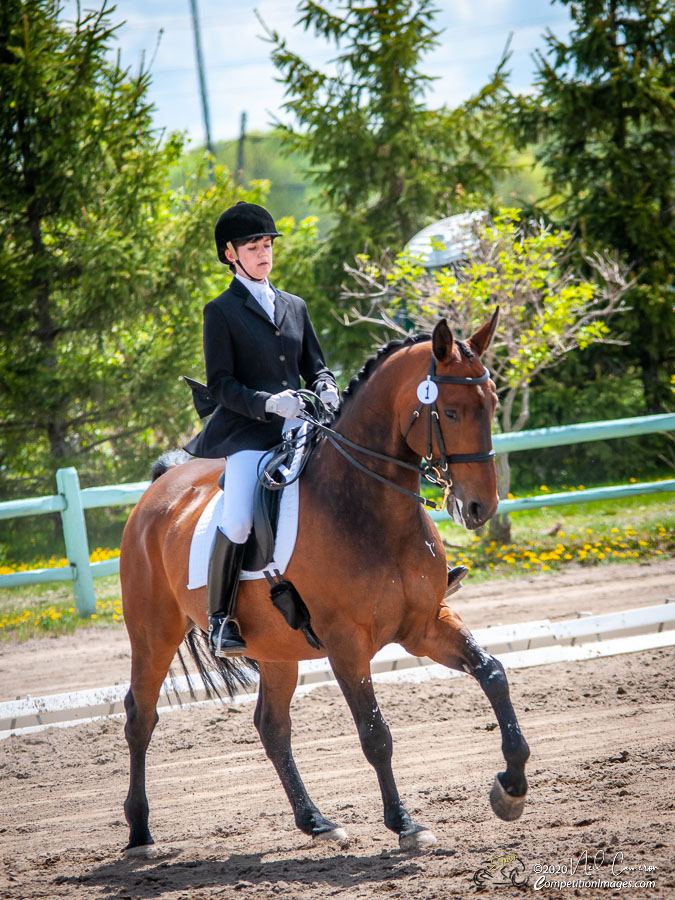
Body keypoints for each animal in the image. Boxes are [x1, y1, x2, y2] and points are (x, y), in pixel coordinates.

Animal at [121, 312, 532, 856]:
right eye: (450, 410)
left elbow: (493, 673)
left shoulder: (427, 624)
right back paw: (140, 832)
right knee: (140, 718)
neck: (369, 507)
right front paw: (405, 824)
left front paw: (510, 788)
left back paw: (315, 820)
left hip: (276, 649)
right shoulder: (346, 643)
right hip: (153, 635)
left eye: (490, 403)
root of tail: (160, 488)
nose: (480, 507)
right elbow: (375, 732)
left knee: (271, 727)